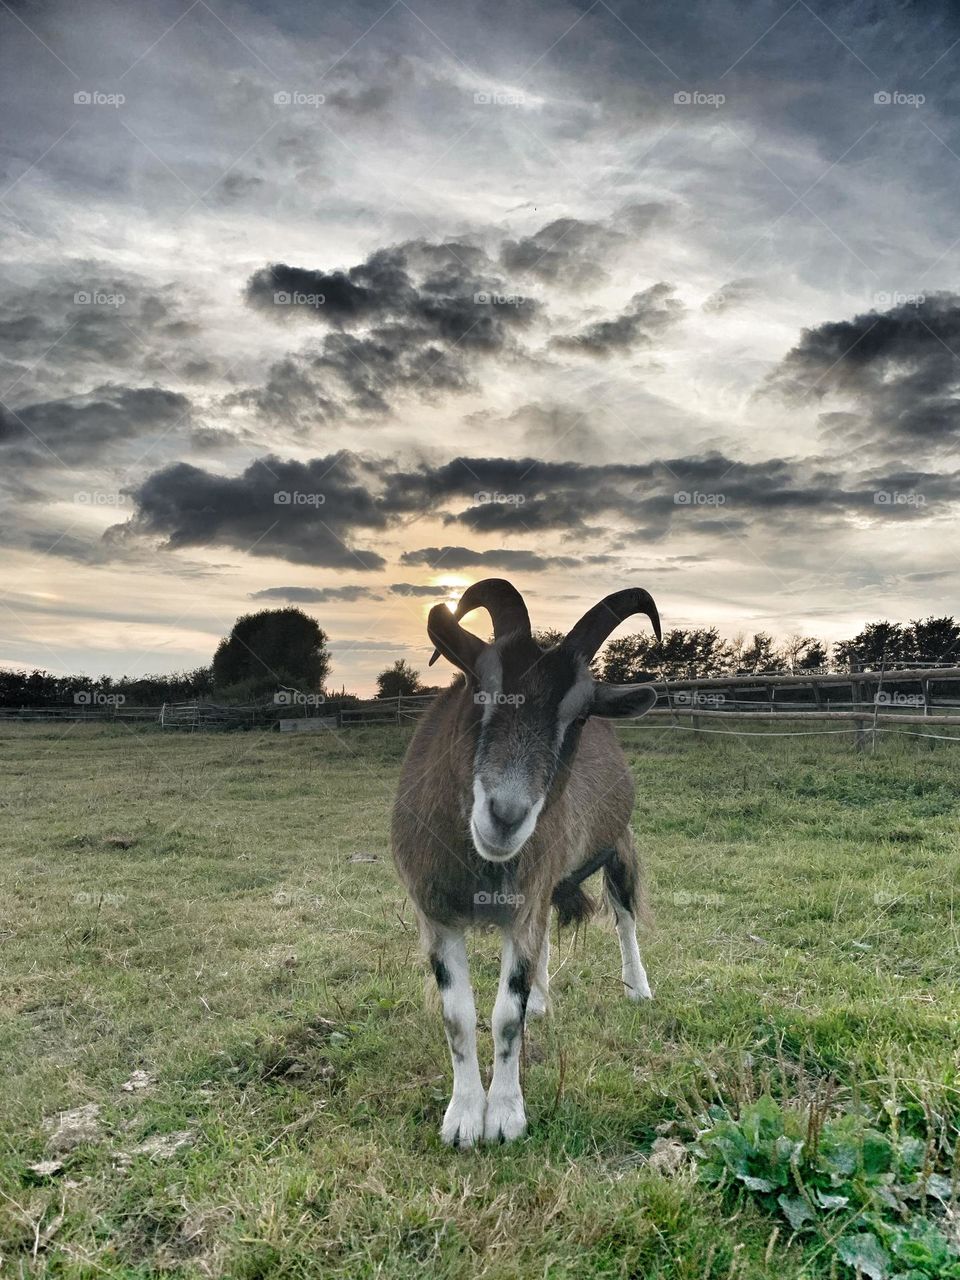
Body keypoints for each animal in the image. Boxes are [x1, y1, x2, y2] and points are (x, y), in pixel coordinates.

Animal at [391, 576, 660, 1146]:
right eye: (480, 688)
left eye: (578, 714)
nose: (506, 816)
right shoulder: (436, 913)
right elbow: (458, 1015)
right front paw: (463, 1118)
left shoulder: (526, 899)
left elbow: (506, 1016)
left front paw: (505, 1116)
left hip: (616, 845)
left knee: (624, 915)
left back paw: (637, 987)